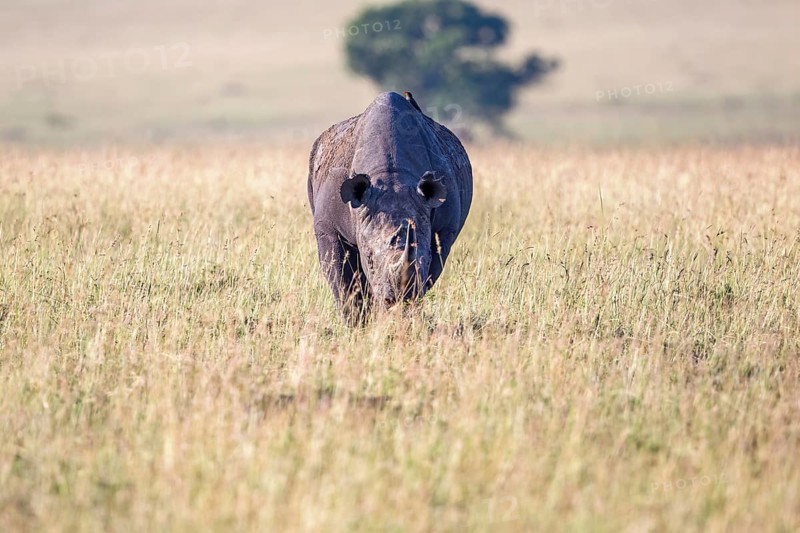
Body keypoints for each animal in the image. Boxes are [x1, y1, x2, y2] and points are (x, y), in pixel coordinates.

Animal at [307, 91, 473, 322]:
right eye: (369, 259)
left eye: (424, 259)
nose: (398, 299)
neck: (392, 177)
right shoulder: (328, 226)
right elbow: (341, 279)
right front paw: (356, 323)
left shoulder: (443, 231)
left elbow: (431, 271)